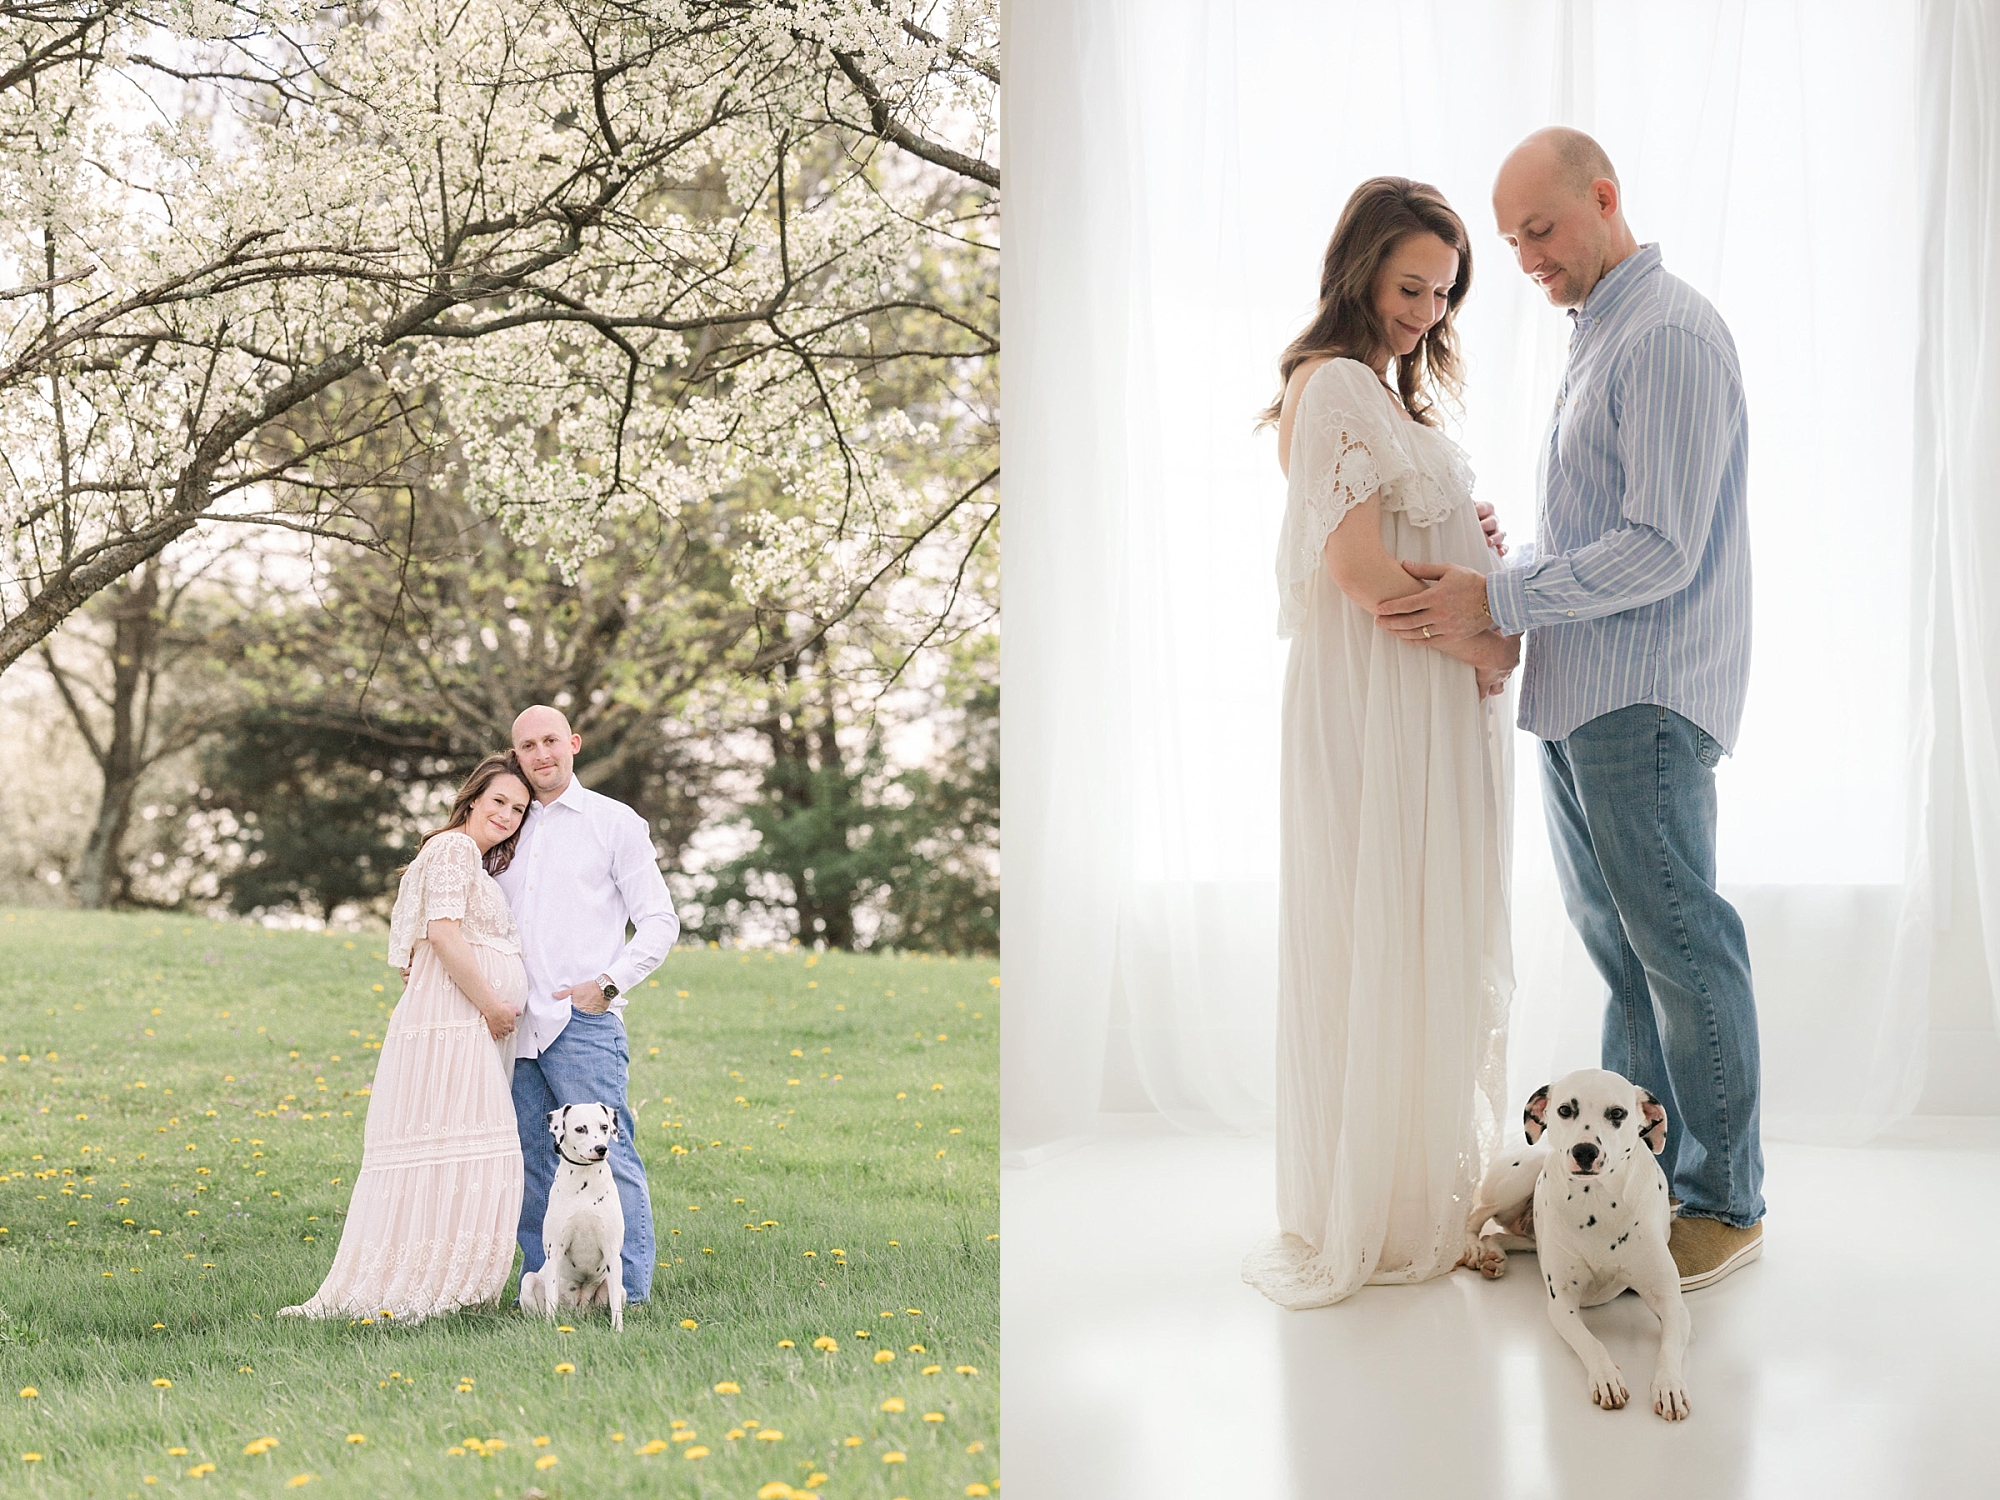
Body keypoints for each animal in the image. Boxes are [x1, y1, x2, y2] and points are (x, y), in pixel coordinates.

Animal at [516, 1096, 624, 1336]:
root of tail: (577, 1311)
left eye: (604, 1127)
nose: (601, 1148)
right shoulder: (555, 1252)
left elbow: (615, 1307)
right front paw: (551, 1327)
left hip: (618, 1287)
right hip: (529, 1281)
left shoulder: (613, 1254)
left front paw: (618, 1330)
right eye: (580, 1129)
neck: (585, 1181)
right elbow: (551, 1302)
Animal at [1472, 1064, 1688, 1424]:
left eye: (1617, 1113)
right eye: (1564, 1110)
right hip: (1518, 1178)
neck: (1596, 1204)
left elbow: (1670, 1347)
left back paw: (1493, 1255)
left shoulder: (1670, 1300)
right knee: (1475, 1217)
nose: (1585, 1151)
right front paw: (1606, 1377)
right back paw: (1473, 1250)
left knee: (1500, 1235)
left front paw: (1669, 1385)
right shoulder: (1562, 1303)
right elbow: (1591, 1343)